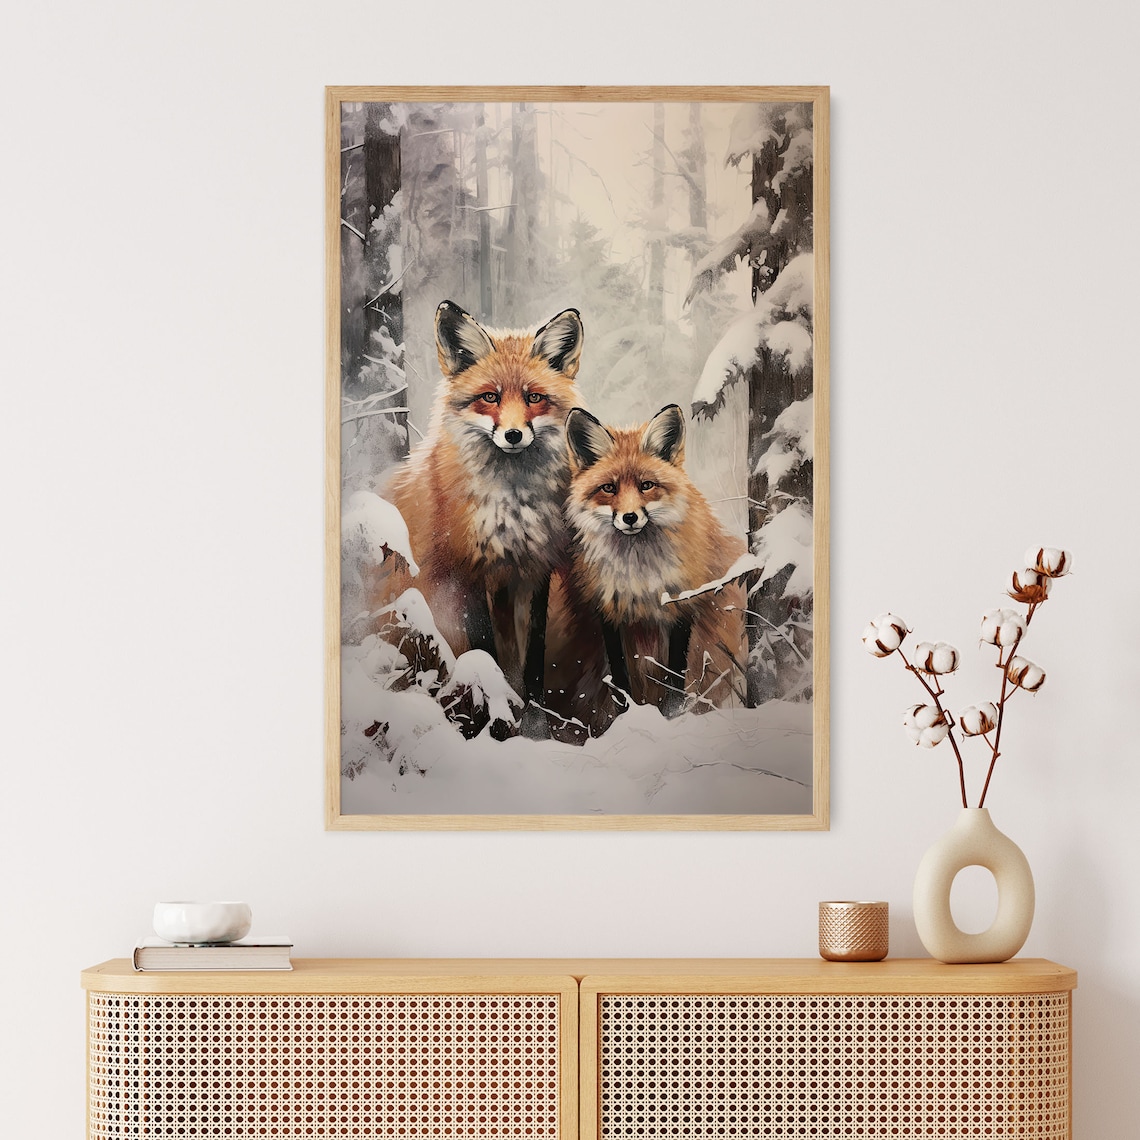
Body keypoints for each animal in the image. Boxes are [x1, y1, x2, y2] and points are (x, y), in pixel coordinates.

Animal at [386, 300, 585, 729]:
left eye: (534, 397)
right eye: (490, 397)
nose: (513, 435)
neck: (512, 507)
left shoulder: (535, 570)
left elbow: (533, 660)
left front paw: (535, 726)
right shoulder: (467, 571)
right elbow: (484, 655)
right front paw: (496, 722)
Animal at [562, 403, 747, 721]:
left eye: (646, 485)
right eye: (609, 488)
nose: (630, 517)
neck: (641, 580)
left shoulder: (682, 607)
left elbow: (675, 678)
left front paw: (672, 716)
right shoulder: (608, 615)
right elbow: (620, 682)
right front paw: (624, 720)